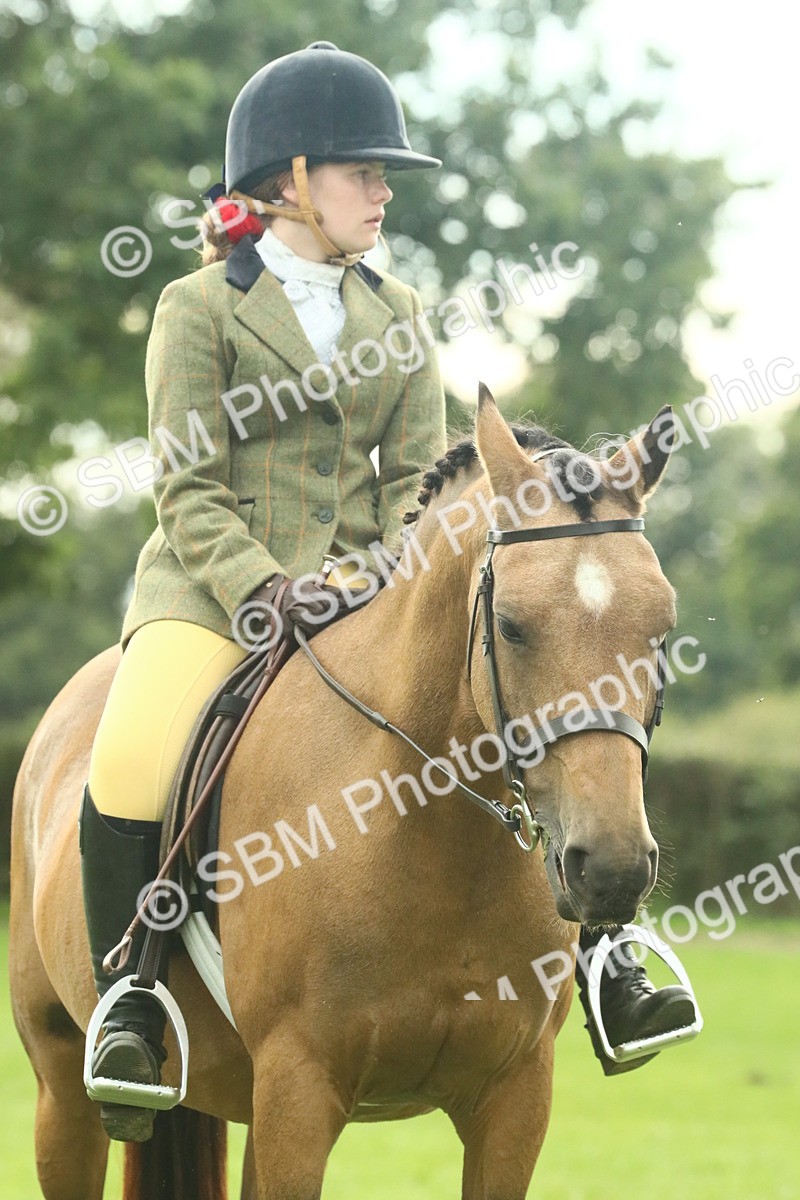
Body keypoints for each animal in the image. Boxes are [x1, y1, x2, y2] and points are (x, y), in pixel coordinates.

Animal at [9, 387, 678, 1200]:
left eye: (664, 628)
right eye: (512, 626)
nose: (611, 869)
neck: (428, 833)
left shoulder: (516, 1096)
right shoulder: (299, 1091)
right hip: (62, 1088)